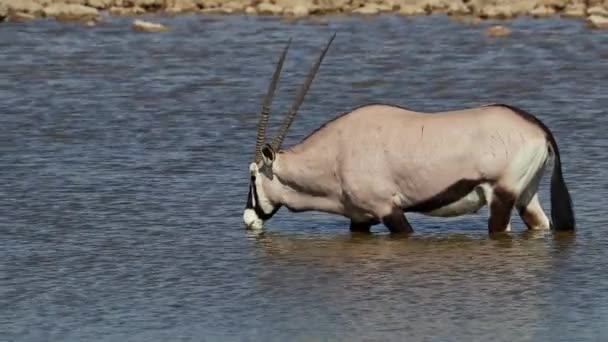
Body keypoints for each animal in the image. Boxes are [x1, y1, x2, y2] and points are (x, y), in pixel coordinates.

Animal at [242, 33, 576, 234]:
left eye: (253, 176)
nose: (248, 219)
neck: (336, 154)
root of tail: (537, 128)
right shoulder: (359, 218)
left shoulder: (388, 210)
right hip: (526, 194)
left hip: (502, 196)